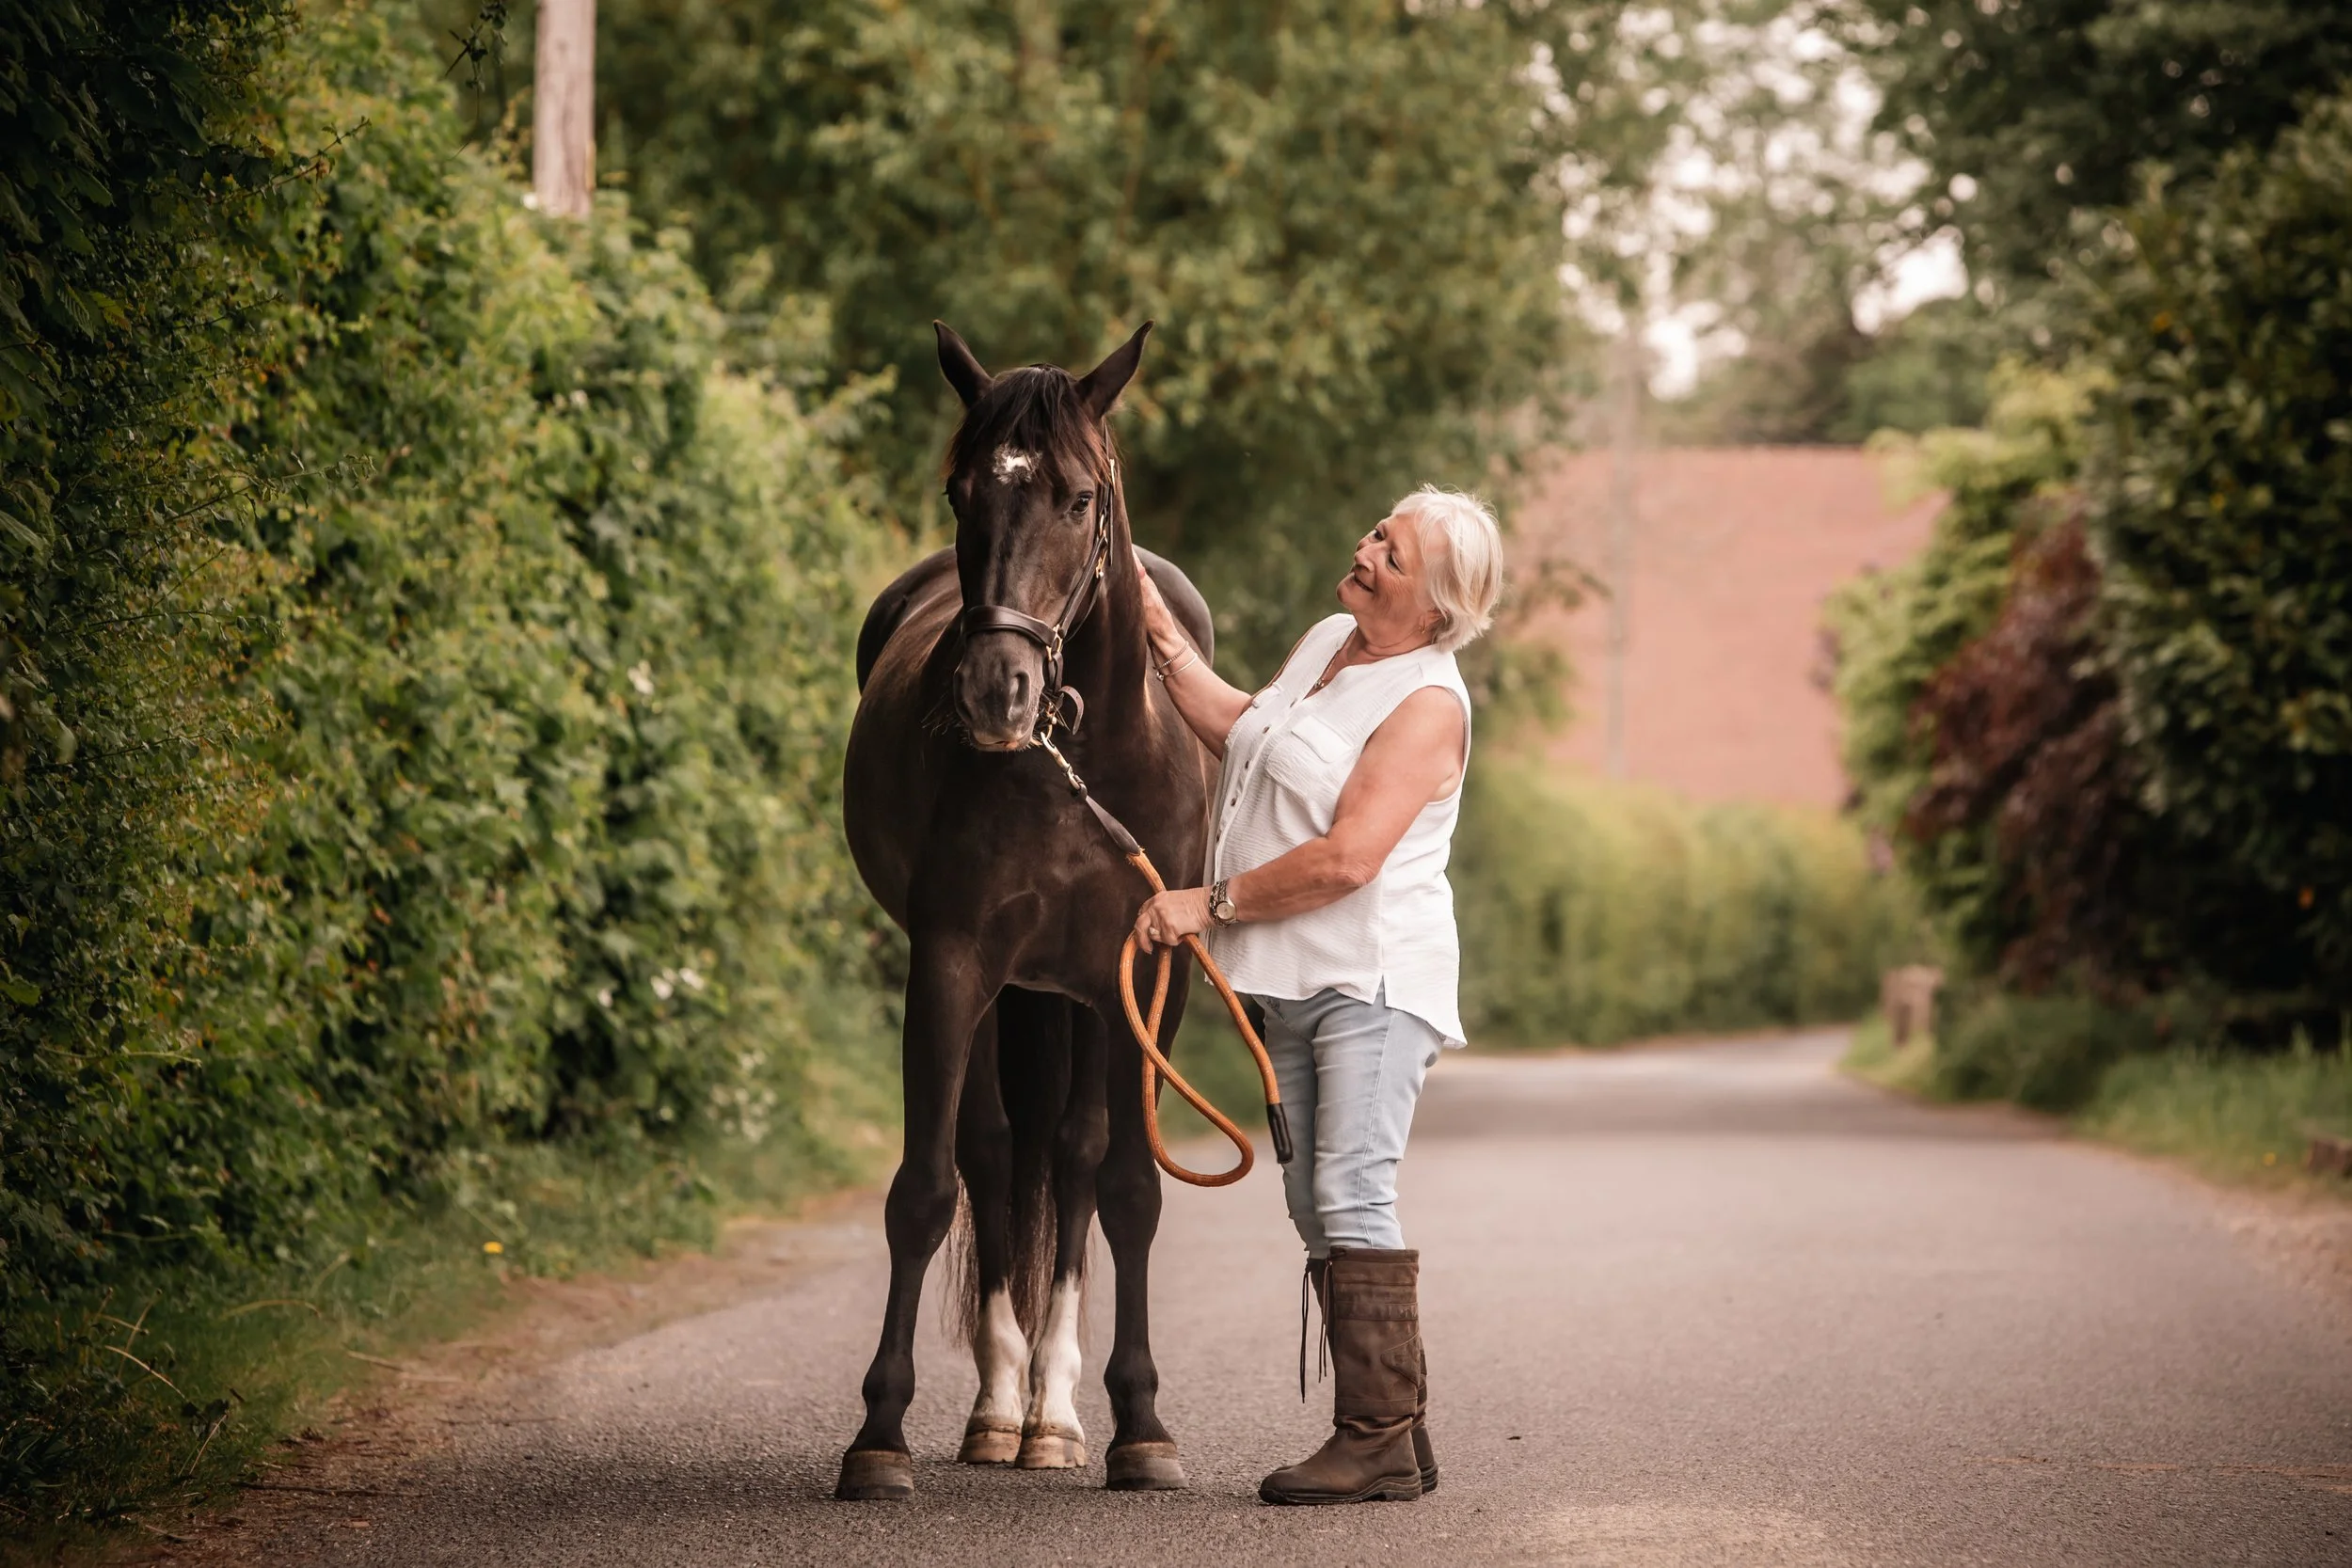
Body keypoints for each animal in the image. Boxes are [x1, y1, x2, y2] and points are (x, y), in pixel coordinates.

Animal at [833, 321, 1218, 1501]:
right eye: (961, 491)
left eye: (1077, 496)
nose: (995, 689)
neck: (1078, 755)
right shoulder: (952, 959)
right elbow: (925, 1185)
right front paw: (878, 1433)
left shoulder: (1151, 976)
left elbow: (1130, 1184)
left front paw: (1142, 1423)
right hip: (1017, 987)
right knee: (1000, 1150)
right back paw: (1004, 1406)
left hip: (1086, 992)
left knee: (1078, 1157)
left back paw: (1054, 1410)